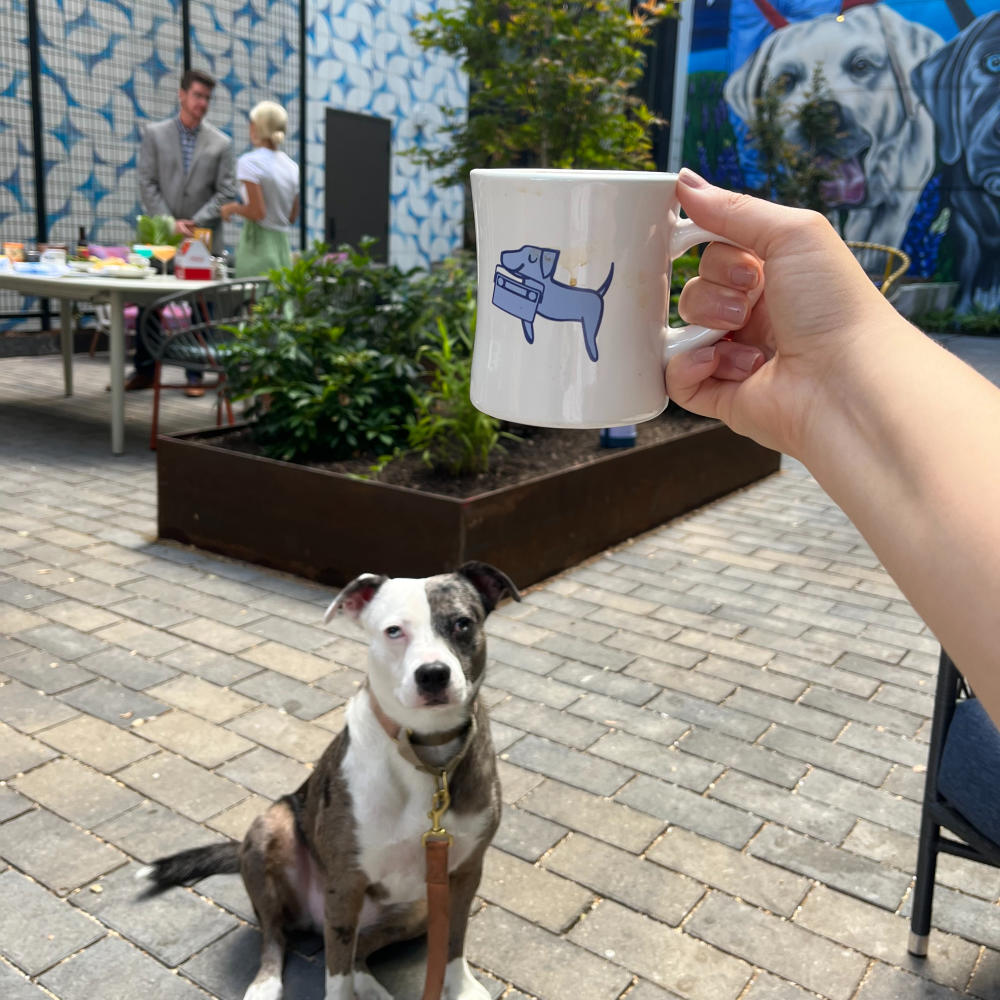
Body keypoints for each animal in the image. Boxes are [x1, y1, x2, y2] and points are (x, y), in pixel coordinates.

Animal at [137, 564, 520, 1000]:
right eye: (393, 631)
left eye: (462, 623)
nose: (433, 674)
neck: (427, 753)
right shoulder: (345, 882)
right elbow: (335, 971)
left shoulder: (464, 874)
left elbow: (454, 938)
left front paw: (462, 988)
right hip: (273, 831)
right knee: (279, 936)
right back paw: (266, 984)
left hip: (418, 907)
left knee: (361, 949)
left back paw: (371, 987)